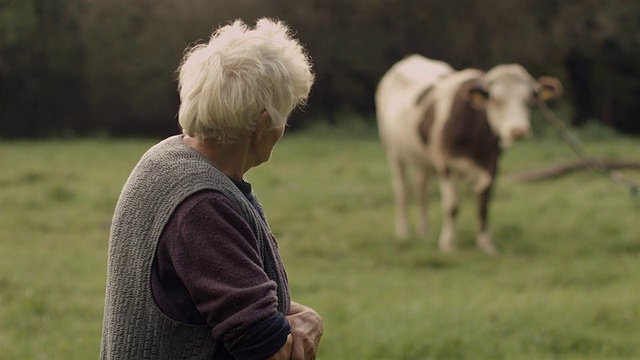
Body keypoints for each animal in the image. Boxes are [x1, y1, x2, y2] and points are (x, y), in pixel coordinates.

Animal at [376, 54, 560, 255]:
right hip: (394, 153)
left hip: (423, 159)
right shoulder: (445, 165)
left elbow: (483, 206)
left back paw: (424, 232)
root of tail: (411, 58)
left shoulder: (491, 165)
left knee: (421, 190)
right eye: (495, 100)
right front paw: (448, 244)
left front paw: (486, 243)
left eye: (530, 99)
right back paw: (403, 233)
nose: (518, 131)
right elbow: (452, 206)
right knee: (402, 191)